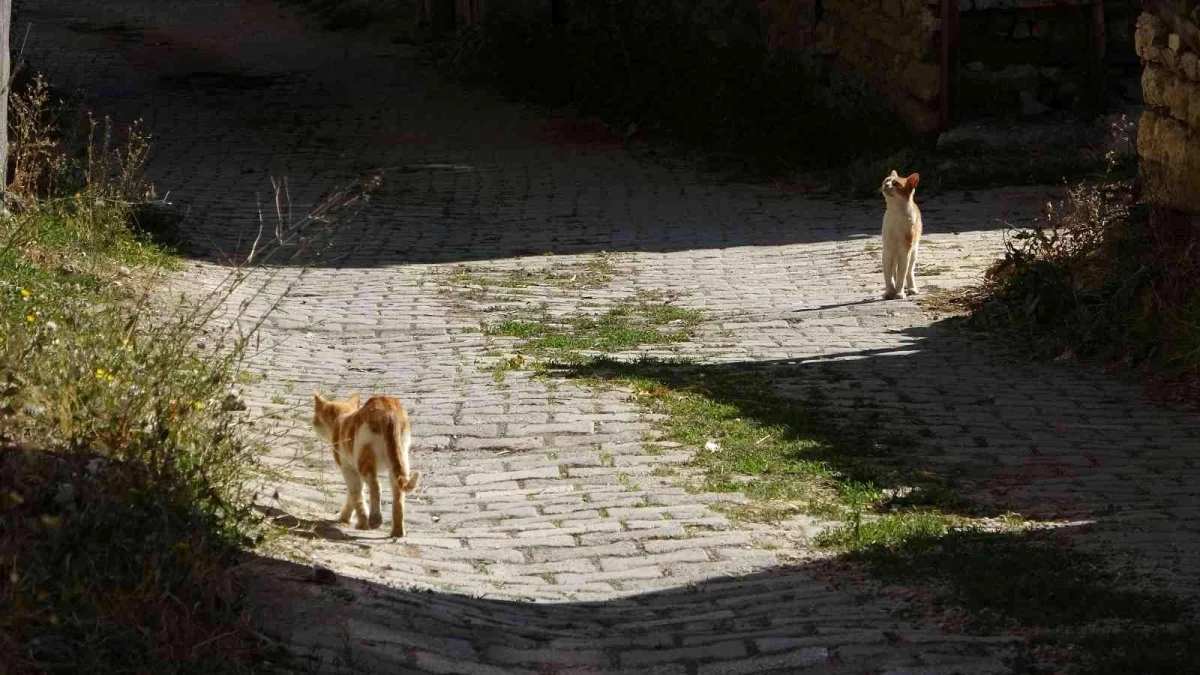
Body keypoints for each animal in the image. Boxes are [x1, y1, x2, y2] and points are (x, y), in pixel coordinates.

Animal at [312, 389, 420, 535]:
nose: (312, 422)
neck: (342, 418)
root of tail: (388, 410)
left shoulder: (348, 468)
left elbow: (356, 494)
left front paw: (361, 522)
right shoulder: (354, 470)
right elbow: (353, 495)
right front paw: (346, 517)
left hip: (364, 457)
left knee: (376, 485)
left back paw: (375, 519)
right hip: (400, 458)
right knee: (398, 493)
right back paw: (397, 531)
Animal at [883, 169, 926, 297]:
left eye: (896, 184)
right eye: (886, 180)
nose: (886, 185)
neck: (895, 214)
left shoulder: (905, 251)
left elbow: (901, 275)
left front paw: (899, 292)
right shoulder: (888, 250)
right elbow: (888, 275)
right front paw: (889, 292)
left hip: (913, 253)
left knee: (909, 272)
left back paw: (912, 289)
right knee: (894, 270)